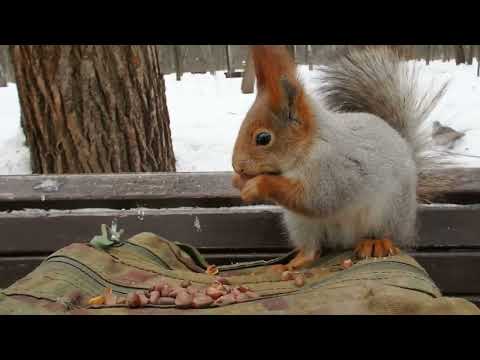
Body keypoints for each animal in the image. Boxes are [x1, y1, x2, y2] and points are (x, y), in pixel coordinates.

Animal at [231, 45, 452, 270]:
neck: (308, 148)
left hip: (389, 212)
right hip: (301, 224)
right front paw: (238, 181)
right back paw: (295, 262)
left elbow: (317, 199)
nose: (237, 166)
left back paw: (376, 243)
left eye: (263, 138)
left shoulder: (336, 170)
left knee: (386, 234)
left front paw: (257, 185)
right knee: (312, 247)